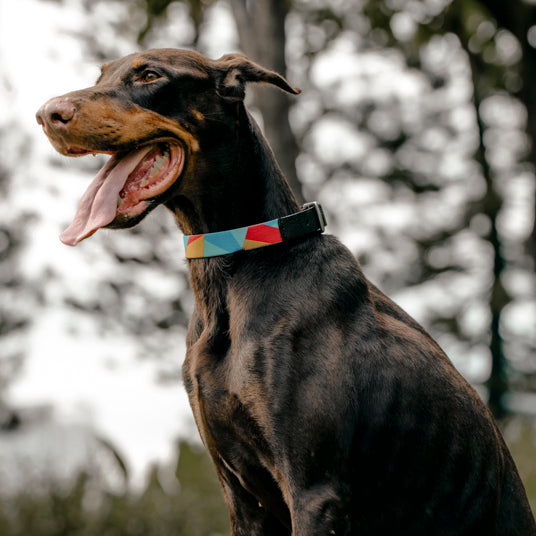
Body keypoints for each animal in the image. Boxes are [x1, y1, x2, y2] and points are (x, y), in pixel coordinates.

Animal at [35, 48, 532, 532]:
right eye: (100, 75)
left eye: (150, 75)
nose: (45, 114)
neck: (235, 263)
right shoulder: (240, 497)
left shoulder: (315, 491)